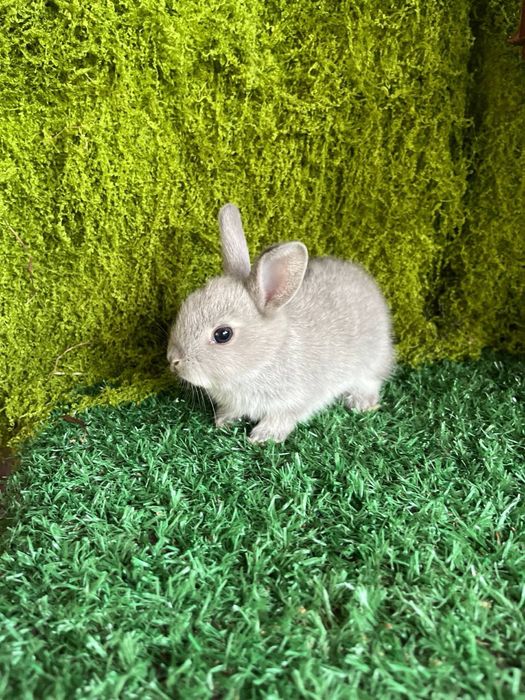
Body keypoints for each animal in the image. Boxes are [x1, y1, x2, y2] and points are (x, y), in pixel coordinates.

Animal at [167, 203, 394, 443]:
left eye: (223, 334)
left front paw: (263, 436)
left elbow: (283, 417)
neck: (266, 357)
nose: (173, 360)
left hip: (372, 359)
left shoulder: (295, 400)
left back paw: (361, 402)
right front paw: (224, 421)